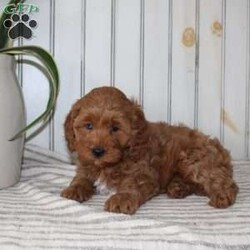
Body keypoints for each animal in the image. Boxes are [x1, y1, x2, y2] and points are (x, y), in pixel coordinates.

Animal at [60, 86, 238, 215]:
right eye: (88, 126)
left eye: (115, 128)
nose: (97, 151)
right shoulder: (85, 167)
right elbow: (81, 179)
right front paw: (73, 190)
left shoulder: (144, 175)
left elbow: (132, 185)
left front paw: (121, 199)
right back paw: (178, 187)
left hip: (194, 160)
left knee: (225, 183)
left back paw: (222, 196)